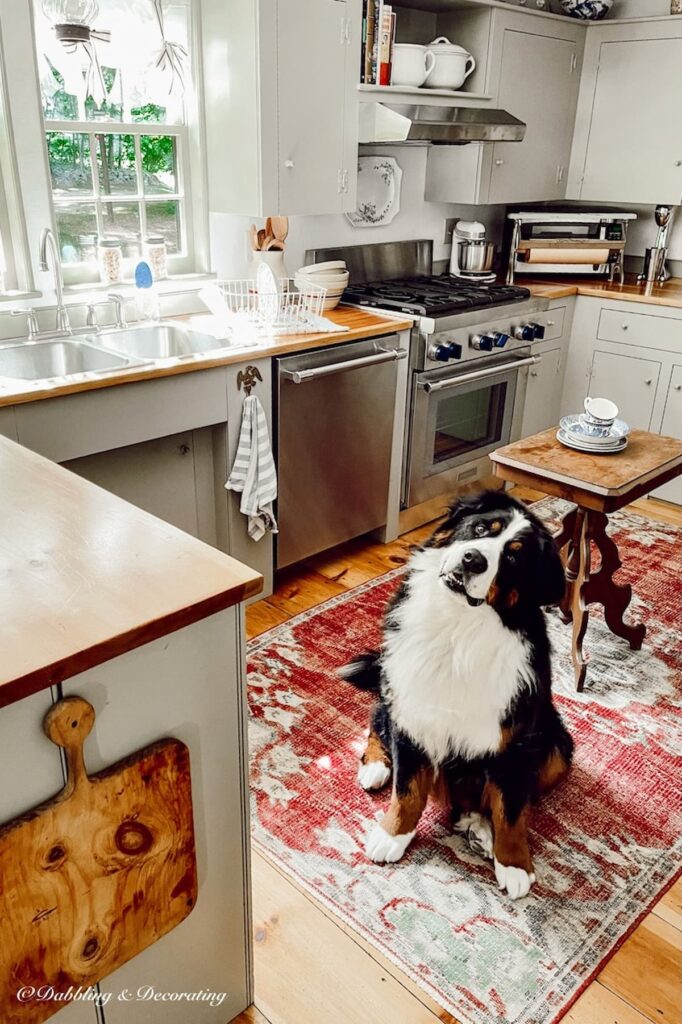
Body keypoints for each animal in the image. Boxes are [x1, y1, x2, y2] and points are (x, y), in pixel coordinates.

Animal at [337, 491, 569, 901]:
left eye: (513, 558)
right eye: (480, 529)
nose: (473, 559)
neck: (458, 629)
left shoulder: (517, 740)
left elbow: (512, 809)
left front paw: (514, 863)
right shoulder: (411, 715)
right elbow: (407, 790)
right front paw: (391, 835)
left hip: (557, 749)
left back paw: (480, 828)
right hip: (390, 691)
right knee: (376, 724)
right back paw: (375, 767)